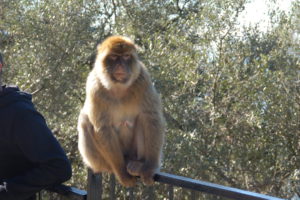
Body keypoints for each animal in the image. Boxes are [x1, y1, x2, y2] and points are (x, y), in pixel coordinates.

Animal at [77, 35, 165, 187]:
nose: (120, 65)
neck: (118, 87)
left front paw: (150, 168)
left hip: (135, 152)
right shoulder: (94, 87)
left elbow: (151, 117)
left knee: (143, 118)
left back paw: (138, 164)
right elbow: (103, 127)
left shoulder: (143, 79)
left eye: (126, 56)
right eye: (113, 56)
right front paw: (122, 173)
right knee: (85, 120)